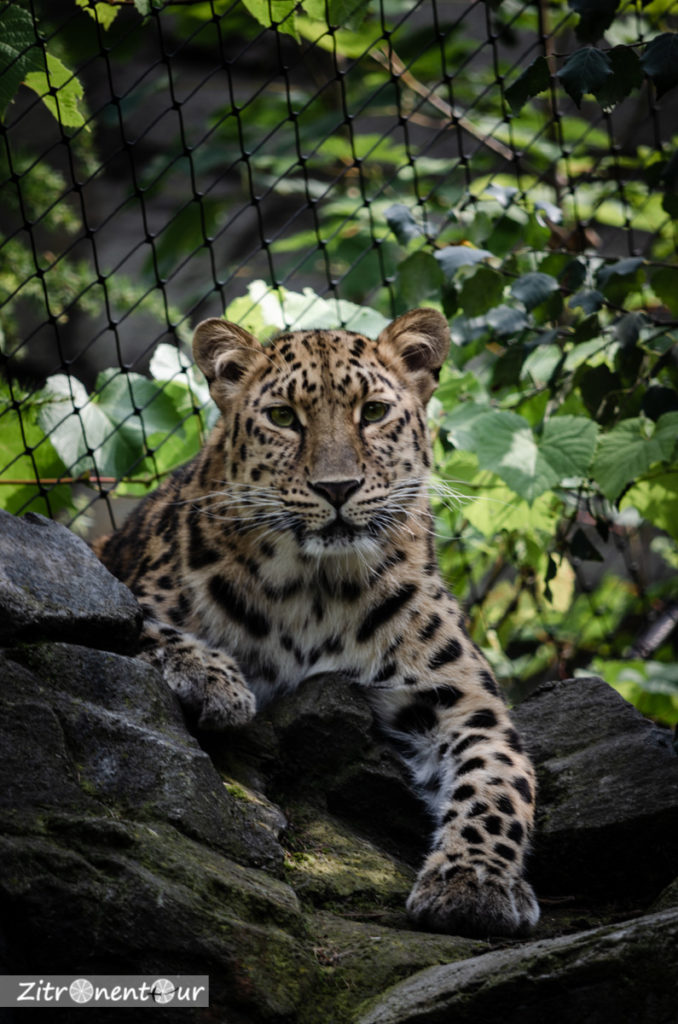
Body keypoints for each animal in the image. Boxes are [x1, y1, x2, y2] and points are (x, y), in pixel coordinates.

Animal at [94, 307, 540, 938]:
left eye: (372, 413)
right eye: (283, 418)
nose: (337, 488)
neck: (316, 588)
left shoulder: (461, 699)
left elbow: (498, 783)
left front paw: (475, 883)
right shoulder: (126, 589)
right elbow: (138, 624)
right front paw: (214, 680)